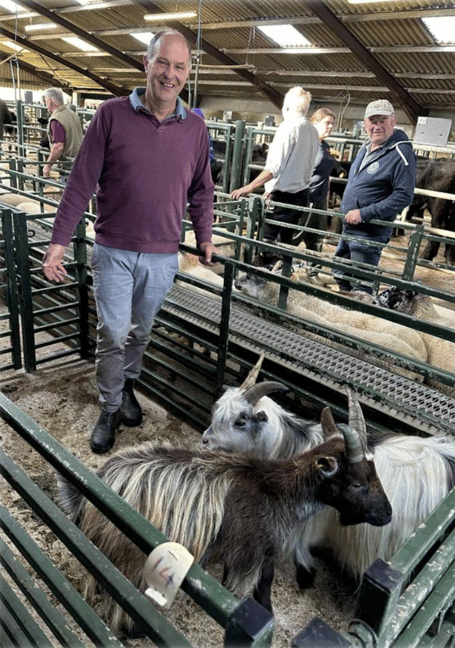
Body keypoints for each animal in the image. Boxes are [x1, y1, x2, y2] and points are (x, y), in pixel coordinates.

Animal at [58, 404, 391, 635]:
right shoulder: (256, 551)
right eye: (357, 483)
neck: (279, 491)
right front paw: (267, 612)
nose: (386, 514)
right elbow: (262, 583)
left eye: (375, 473)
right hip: (130, 554)